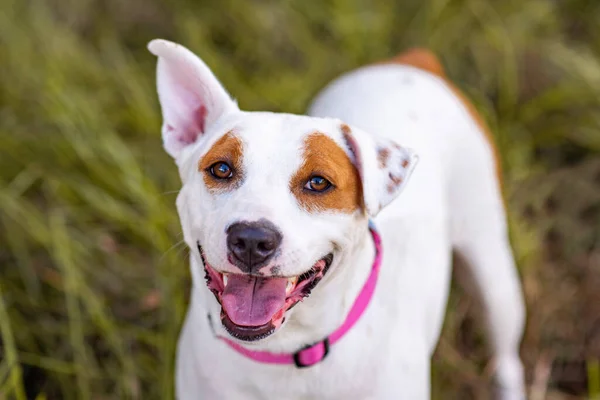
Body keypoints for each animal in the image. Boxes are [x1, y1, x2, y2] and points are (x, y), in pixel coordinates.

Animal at [148, 39, 528, 398]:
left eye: (318, 183)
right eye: (221, 169)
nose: (253, 240)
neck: (285, 350)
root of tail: (410, 64)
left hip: (493, 276)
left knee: (507, 359)